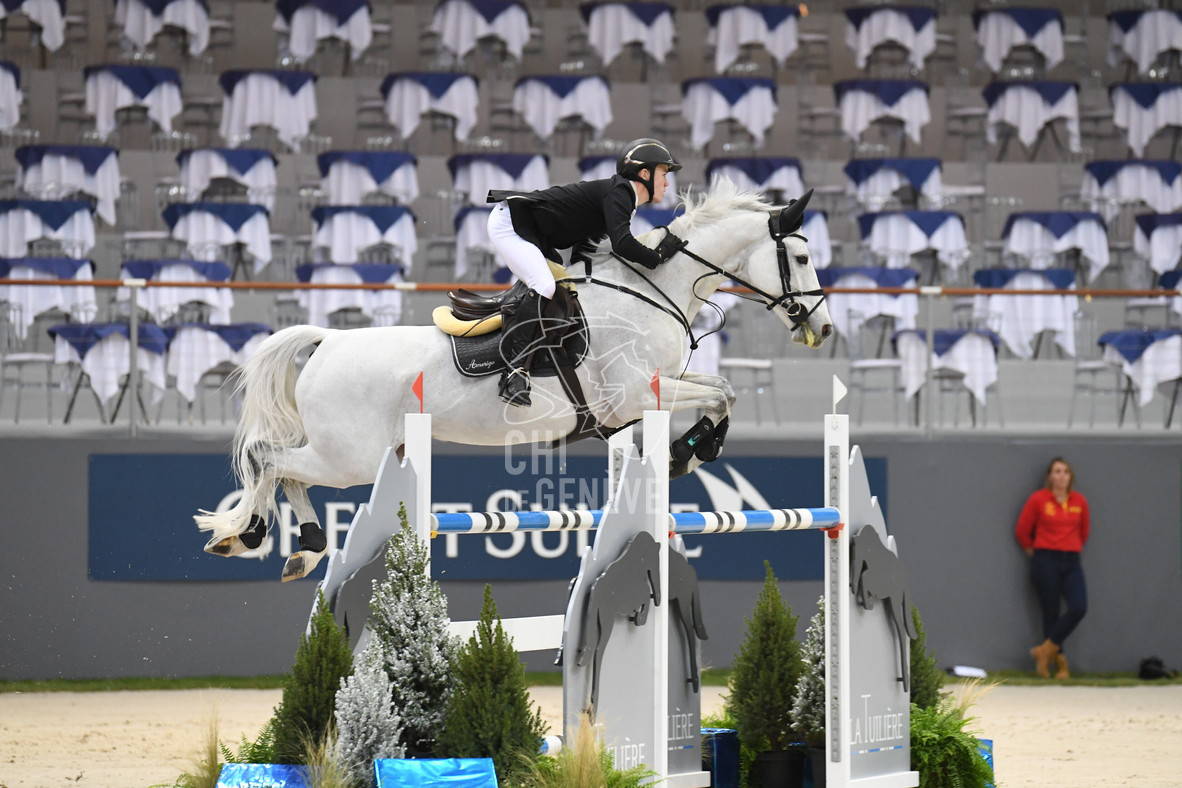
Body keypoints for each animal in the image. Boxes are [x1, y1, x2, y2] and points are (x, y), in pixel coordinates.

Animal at [193, 181, 832, 583]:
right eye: (801, 259)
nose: (823, 328)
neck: (651, 290)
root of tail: (329, 340)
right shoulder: (633, 393)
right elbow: (723, 392)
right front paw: (689, 451)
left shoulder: (657, 385)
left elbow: (720, 387)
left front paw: (685, 451)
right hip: (349, 456)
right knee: (271, 460)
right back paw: (246, 535)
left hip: (355, 452)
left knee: (282, 468)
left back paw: (301, 549)